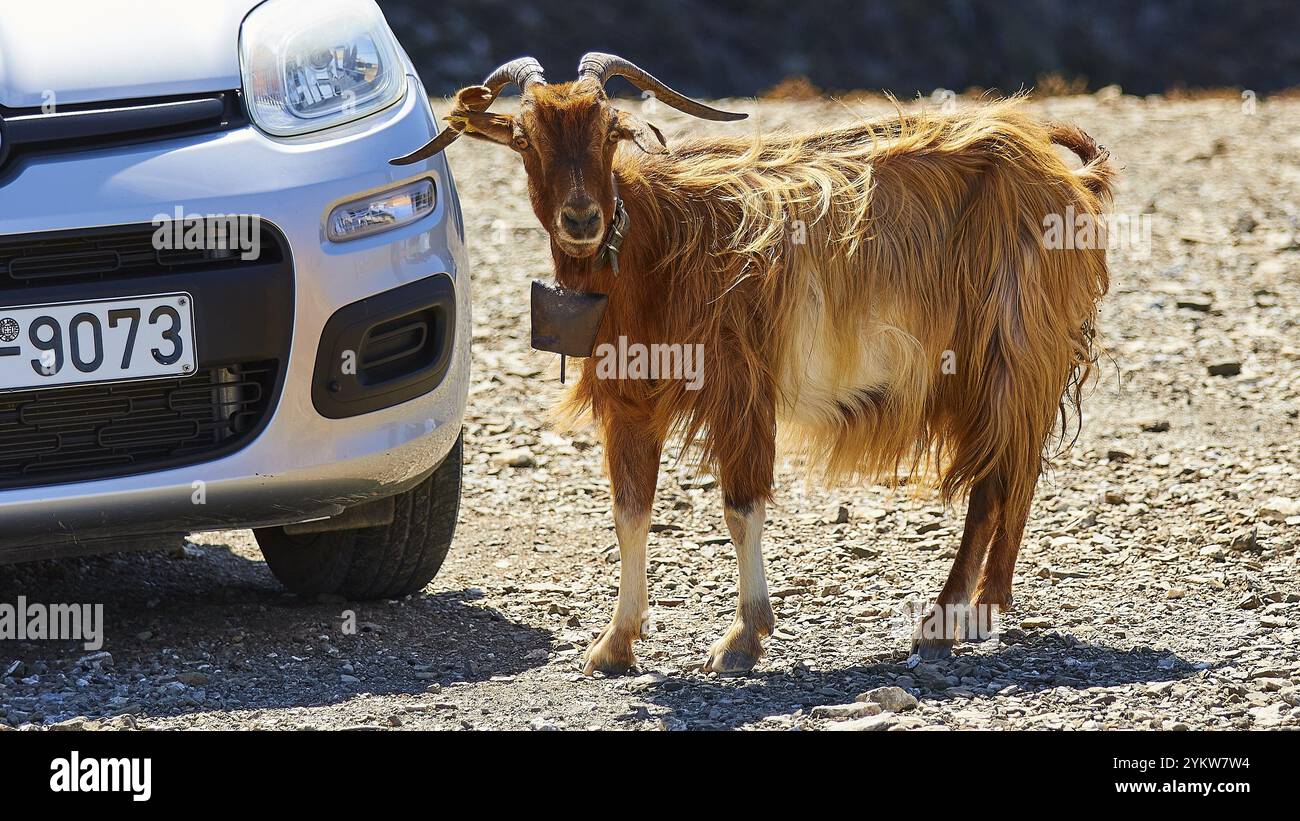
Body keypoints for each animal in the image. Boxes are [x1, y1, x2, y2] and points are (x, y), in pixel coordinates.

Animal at [390, 56, 1112, 675]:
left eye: (611, 130)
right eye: (525, 138)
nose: (582, 218)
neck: (656, 243)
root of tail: (1058, 164)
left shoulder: (740, 388)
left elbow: (740, 506)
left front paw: (742, 638)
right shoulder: (629, 401)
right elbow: (630, 512)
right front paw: (614, 644)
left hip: (1008, 355)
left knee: (994, 481)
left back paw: (945, 619)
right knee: (1014, 472)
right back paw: (987, 604)